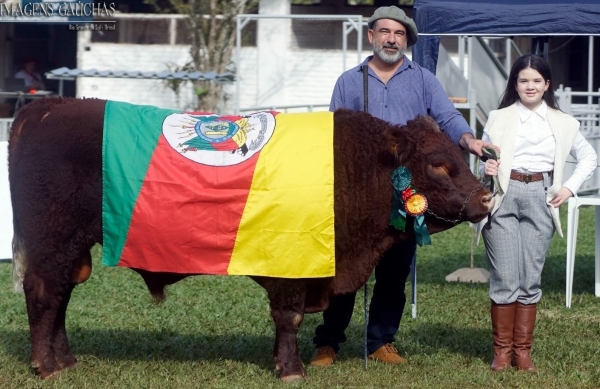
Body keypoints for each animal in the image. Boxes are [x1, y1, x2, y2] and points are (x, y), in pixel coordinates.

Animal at [8, 98, 492, 380]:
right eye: (438, 164)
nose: (486, 197)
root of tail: (43, 107)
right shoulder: (291, 266)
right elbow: (289, 318)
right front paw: (291, 369)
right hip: (53, 242)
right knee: (45, 295)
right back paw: (46, 366)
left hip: (69, 250)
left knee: (61, 297)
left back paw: (65, 360)